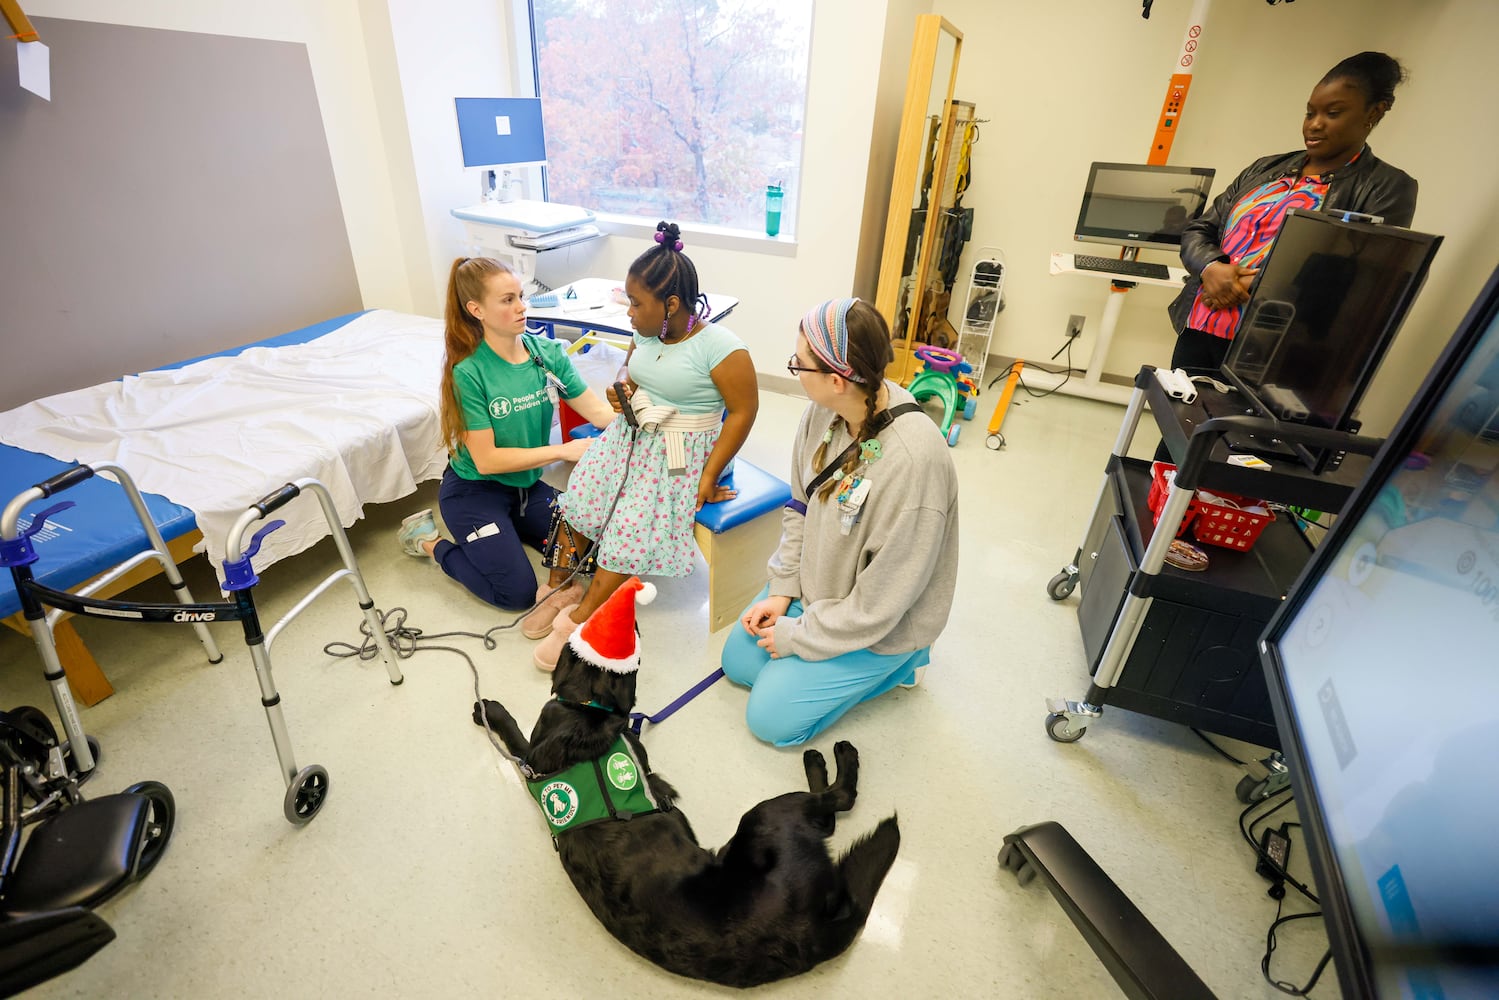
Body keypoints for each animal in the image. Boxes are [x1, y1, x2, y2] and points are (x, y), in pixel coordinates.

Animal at [476, 644, 899, 989]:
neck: (585, 709)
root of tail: (813, 935)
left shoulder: (536, 754)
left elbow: (519, 743)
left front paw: (488, 712)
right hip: (765, 816)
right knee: (838, 802)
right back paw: (830, 758)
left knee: (829, 816)